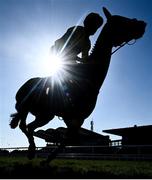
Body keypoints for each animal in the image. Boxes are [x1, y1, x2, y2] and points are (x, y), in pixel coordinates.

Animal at [9, 7, 146, 160]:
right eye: (121, 20)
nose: (142, 24)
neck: (89, 76)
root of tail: (23, 86)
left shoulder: (75, 118)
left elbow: (69, 139)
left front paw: (49, 158)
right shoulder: (74, 117)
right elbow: (68, 138)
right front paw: (47, 158)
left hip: (43, 114)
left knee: (28, 127)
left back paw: (32, 150)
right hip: (30, 109)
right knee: (25, 126)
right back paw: (32, 150)